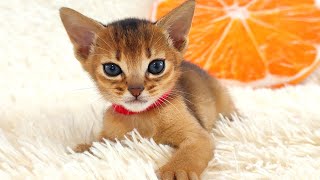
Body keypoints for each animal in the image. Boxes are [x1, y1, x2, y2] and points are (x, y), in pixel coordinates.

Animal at [59, 0, 238, 179]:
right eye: (111, 69)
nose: (136, 90)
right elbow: (101, 141)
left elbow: (189, 153)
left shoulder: (199, 136)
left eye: (156, 66)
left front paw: (176, 171)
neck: (141, 117)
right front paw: (86, 147)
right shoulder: (111, 135)